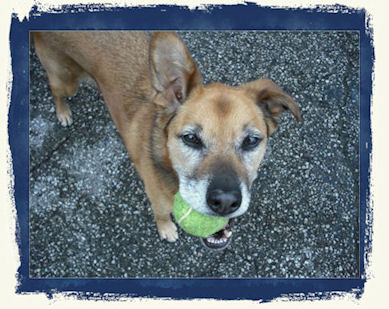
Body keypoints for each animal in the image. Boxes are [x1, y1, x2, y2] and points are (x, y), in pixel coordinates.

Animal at [32, 31, 300, 249]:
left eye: (251, 141)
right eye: (191, 138)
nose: (225, 202)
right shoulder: (157, 200)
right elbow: (161, 216)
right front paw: (166, 229)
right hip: (65, 81)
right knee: (55, 90)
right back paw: (63, 113)